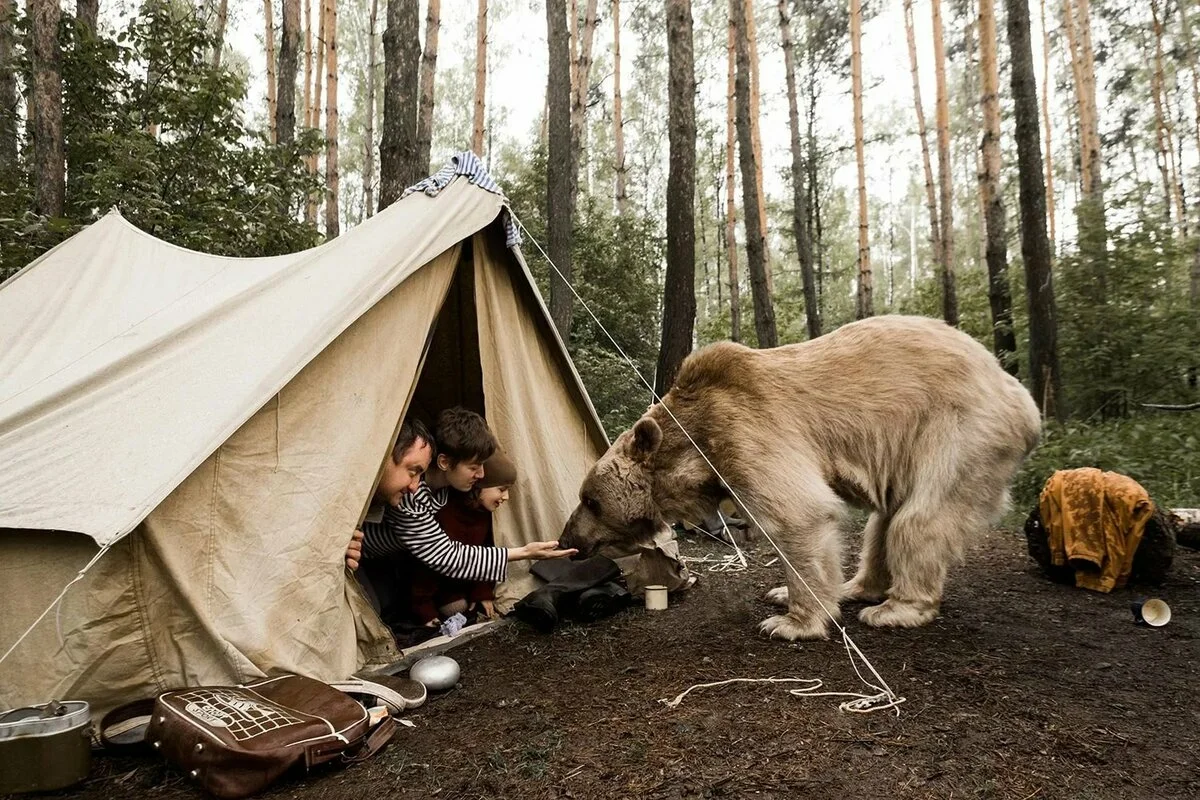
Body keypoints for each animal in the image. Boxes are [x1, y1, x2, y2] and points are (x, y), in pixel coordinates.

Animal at [561, 316, 1041, 642]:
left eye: (590, 499)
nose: (570, 538)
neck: (694, 443)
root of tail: (1022, 396)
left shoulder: (745, 431)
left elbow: (799, 515)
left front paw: (789, 621)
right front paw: (783, 596)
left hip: (958, 433)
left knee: (920, 520)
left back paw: (895, 609)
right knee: (883, 523)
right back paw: (855, 587)